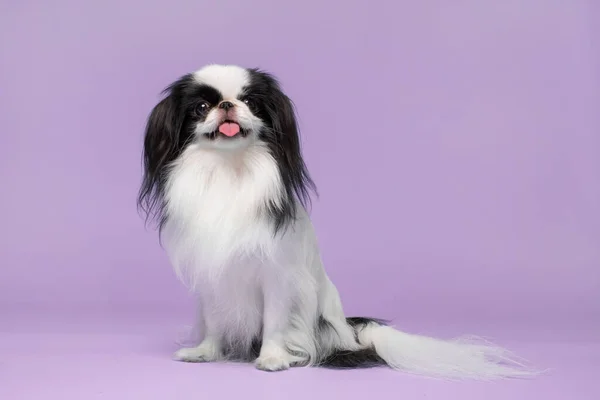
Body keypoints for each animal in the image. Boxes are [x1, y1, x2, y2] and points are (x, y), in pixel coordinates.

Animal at [139, 64, 540, 380]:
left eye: (251, 103)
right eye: (201, 107)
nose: (226, 106)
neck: (228, 168)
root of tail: (349, 332)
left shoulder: (278, 277)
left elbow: (274, 321)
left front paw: (272, 359)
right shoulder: (212, 277)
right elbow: (215, 320)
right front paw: (205, 352)